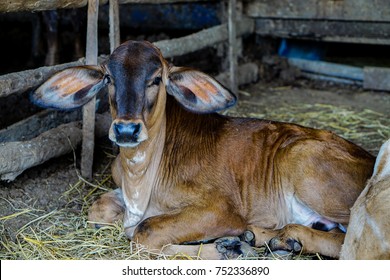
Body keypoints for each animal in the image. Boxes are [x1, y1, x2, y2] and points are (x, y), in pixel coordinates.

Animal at [31, 40, 374, 260]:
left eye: (156, 79)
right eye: (108, 78)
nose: (127, 129)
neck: (140, 178)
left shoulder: (220, 208)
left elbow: (145, 232)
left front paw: (228, 249)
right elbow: (100, 210)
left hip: (302, 161)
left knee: (353, 234)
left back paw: (281, 239)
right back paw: (269, 238)